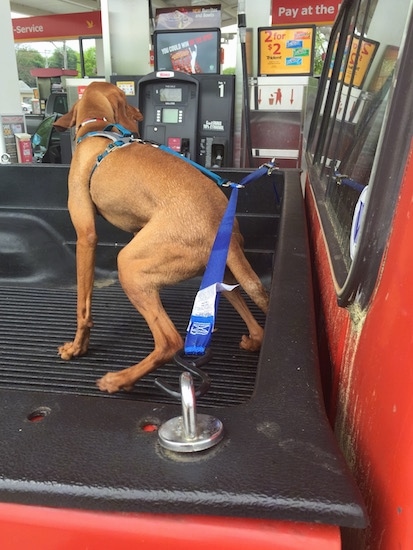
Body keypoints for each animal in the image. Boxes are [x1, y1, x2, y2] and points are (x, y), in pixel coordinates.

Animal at [54, 81, 268, 392]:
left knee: (170, 342)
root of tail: (217, 224)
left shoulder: (85, 236)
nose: (139, 115)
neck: (99, 128)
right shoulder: (138, 229)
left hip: (128, 265)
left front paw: (77, 347)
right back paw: (252, 340)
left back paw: (119, 379)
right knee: (256, 325)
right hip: (223, 274)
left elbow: (83, 306)